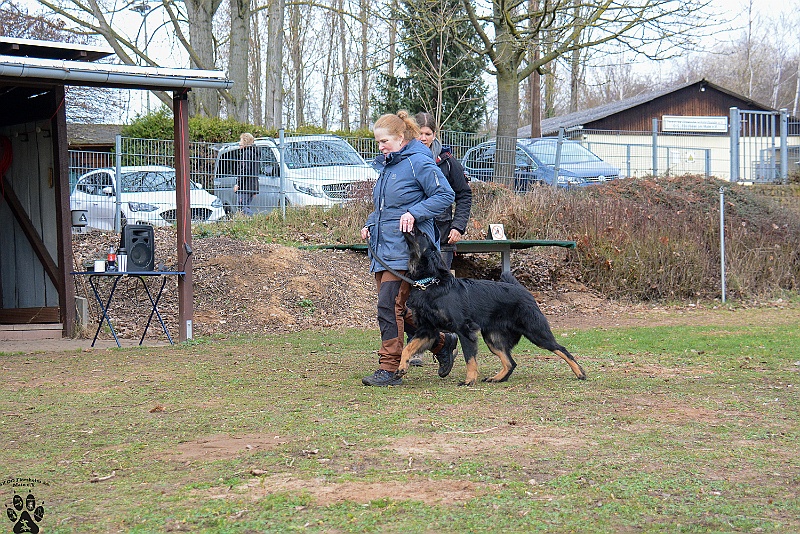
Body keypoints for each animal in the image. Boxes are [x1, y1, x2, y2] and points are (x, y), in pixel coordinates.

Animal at [397, 230, 586, 386]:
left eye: (423, 235)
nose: (410, 225)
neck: (429, 282)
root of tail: (523, 291)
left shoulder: (464, 329)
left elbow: (469, 357)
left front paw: (469, 380)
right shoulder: (427, 329)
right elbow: (407, 348)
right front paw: (401, 368)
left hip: (536, 333)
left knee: (561, 349)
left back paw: (580, 373)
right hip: (492, 339)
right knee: (510, 362)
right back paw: (497, 378)